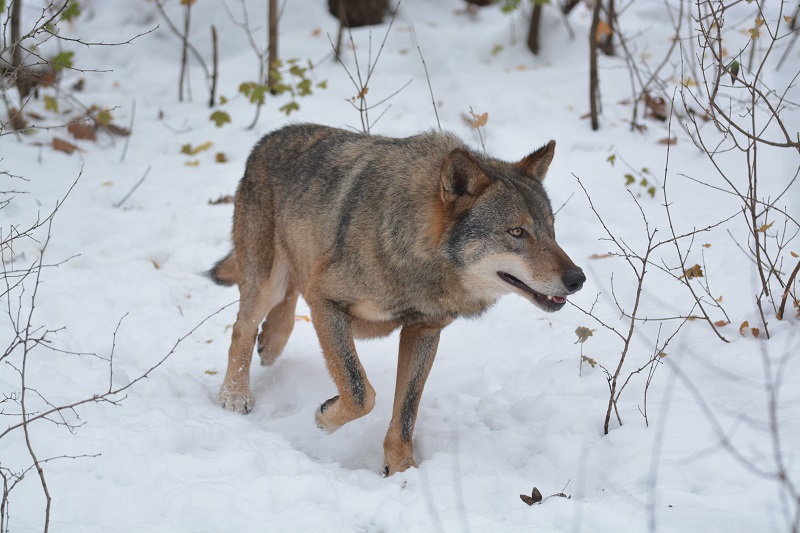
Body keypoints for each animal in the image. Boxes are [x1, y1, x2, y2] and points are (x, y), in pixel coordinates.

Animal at [206, 123, 584, 474]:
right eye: (517, 232)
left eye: (551, 230)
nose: (577, 278)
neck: (417, 253)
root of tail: (267, 139)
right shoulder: (326, 301)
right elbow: (360, 393)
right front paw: (325, 419)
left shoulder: (424, 331)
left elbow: (405, 411)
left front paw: (402, 471)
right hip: (266, 281)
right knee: (243, 326)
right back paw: (234, 394)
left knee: (286, 299)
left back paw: (272, 343)